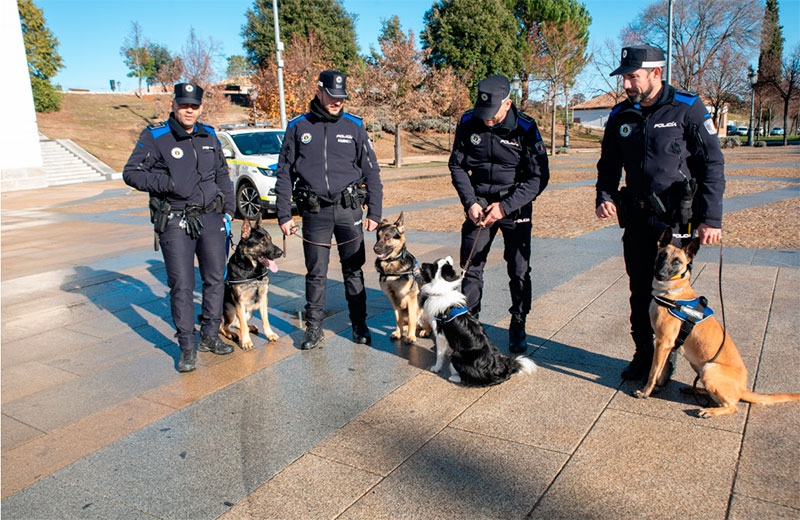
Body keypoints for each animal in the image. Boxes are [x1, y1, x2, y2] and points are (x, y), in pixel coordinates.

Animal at [220, 213, 282, 352]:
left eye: (270, 239)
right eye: (262, 242)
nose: (281, 252)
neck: (252, 270)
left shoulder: (263, 298)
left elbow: (265, 320)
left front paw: (269, 334)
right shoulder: (239, 302)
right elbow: (242, 324)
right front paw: (246, 342)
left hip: (249, 312)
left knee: (237, 323)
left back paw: (250, 328)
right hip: (231, 309)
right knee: (224, 326)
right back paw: (232, 334)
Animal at [376, 213, 432, 344]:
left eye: (387, 237)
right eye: (377, 236)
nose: (375, 249)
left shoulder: (411, 298)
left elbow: (412, 319)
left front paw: (410, 337)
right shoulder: (393, 299)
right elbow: (398, 319)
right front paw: (398, 333)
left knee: (426, 325)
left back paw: (425, 331)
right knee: (413, 324)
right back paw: (406, 329)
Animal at [418, 256, 536, 386]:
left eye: (434, 264)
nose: (422, 264)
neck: (443, 291)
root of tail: (500, 370)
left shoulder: (440, 333)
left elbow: (439, 354)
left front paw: (436, 368)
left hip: (457, 355)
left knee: (469, 379)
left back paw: (454, 377)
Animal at [636, 230, 796, 416]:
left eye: (677, 262)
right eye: (662, 255)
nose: (660, 274)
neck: (672, 292)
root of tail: (743, 389)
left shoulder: (663, 342)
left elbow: (653, 372)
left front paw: (645, 392)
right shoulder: (667, 345)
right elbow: (661, 371)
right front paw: (655, 388)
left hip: (709, 369)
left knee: (732, 406)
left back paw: (709, 411)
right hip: (699, 366)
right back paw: (693, 390)